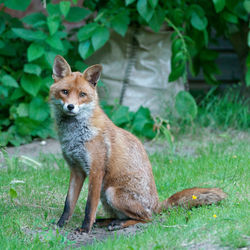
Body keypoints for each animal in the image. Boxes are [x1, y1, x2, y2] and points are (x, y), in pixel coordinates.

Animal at [49, 55, 227, 233]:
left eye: (82, 94)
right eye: (65, 92)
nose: (70, 107)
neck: (75, 135)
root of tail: (156, 205)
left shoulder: (96, 170)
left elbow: (89, 206)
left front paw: (85, 228)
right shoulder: (76, 170)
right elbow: (68, 203)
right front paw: (60, 224)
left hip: (111, 192)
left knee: (146, 218)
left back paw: (118, 224)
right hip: (106, 196)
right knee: (123, 216)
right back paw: (107, 221)